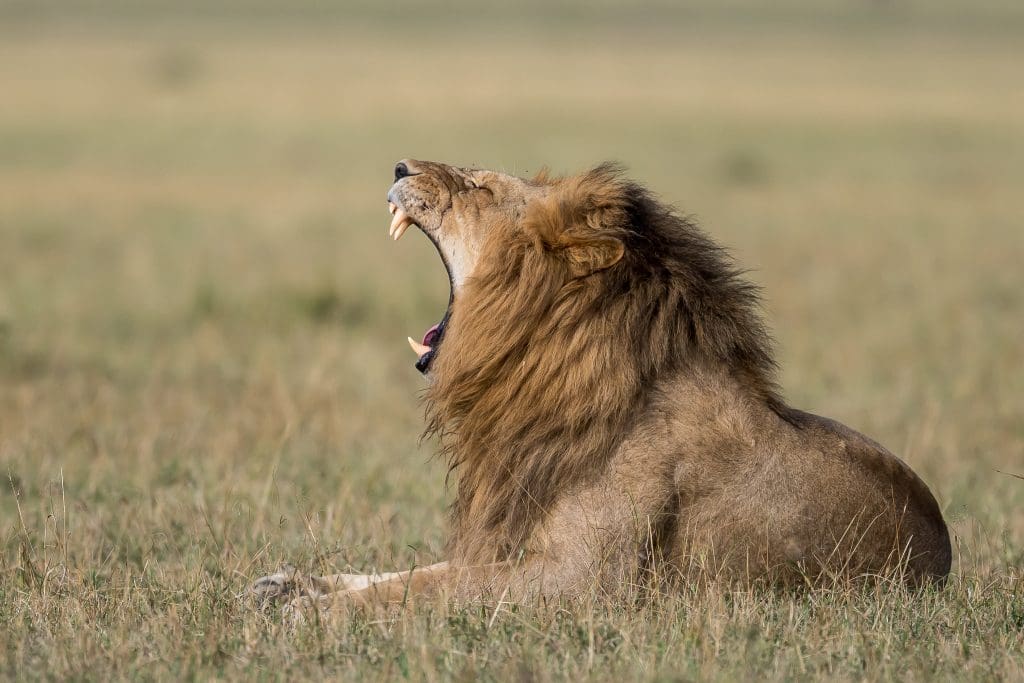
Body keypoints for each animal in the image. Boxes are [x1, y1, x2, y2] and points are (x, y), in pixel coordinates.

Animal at [253, 160, 950, 614]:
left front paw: (317, 613)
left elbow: (430, 588)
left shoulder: (580, 579)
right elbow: (414, 573)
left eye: (478, 186)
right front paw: (295, 585)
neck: (540, 377)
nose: (400, 162)